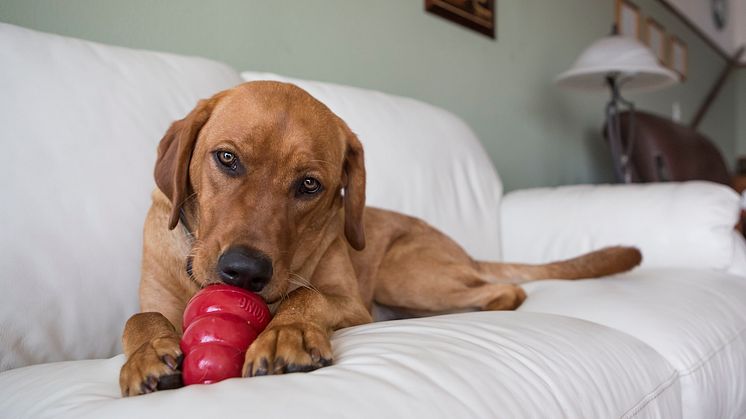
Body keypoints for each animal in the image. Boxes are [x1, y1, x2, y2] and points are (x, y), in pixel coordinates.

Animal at [117, 81, 640, 398]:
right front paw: (146, 354)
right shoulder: (157, 301)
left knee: (506, 291)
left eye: (309, 185)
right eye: (226, 158)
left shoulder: (351, 302)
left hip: (401, 273)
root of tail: (464, 252)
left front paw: (288, 332)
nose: (244, 272)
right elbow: (140, 317)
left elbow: (306, 297)